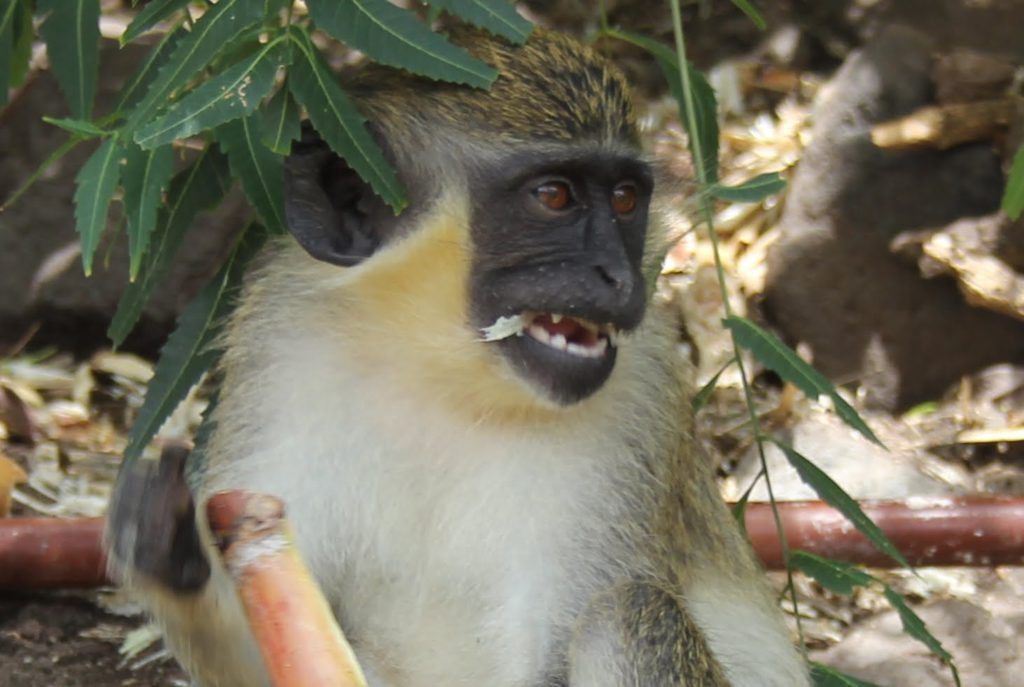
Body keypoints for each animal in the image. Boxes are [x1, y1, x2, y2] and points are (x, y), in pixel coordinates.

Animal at [106, 26, 810, 687]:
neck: (438, 370)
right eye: (555, 196)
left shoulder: (641, 393)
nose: (619, 276)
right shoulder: (283, 346)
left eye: (625, 199)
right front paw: (169, 549)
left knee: (628, 613)